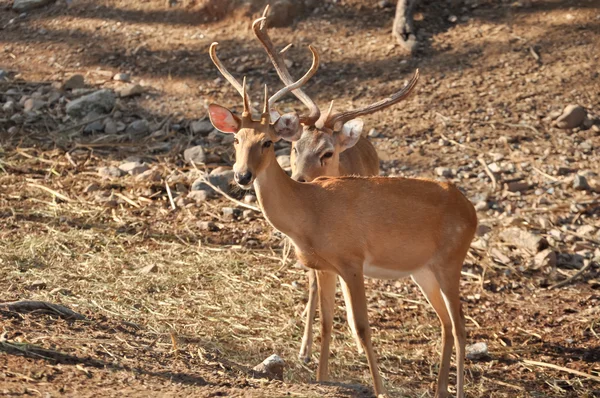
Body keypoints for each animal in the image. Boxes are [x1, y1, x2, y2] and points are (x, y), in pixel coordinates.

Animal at [209, 27, 476, 398]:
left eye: (268, 141)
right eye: (236, 139)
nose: (242, 175)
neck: (309, 212)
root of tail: (471, 211)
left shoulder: (352, 260)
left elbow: (361, 327)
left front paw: (379, 389)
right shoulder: (324, 266)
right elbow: (325, 322)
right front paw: (320, 376)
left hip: (451, 261)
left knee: (462, 325)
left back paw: (458, 389)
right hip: (423, 270)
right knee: (447, 323)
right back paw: (439, 390)